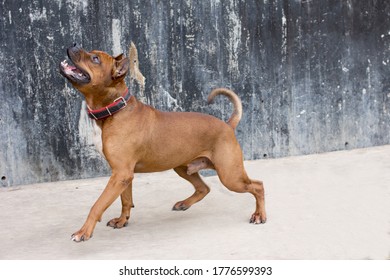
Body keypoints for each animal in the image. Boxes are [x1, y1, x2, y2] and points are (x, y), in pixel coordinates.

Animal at [59, 43, 266, 241]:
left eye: (95, 58)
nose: (74, 44)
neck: (115, 108)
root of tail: (228, 125)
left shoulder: (120, 175)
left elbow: (97, 205)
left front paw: (84, 232)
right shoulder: (123, 175)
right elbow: (125, 200)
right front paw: (122, 220)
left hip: (230, 176)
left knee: (257, 186)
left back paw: (259, 215)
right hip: (184, 167)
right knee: (204, 188)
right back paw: (184, 204)